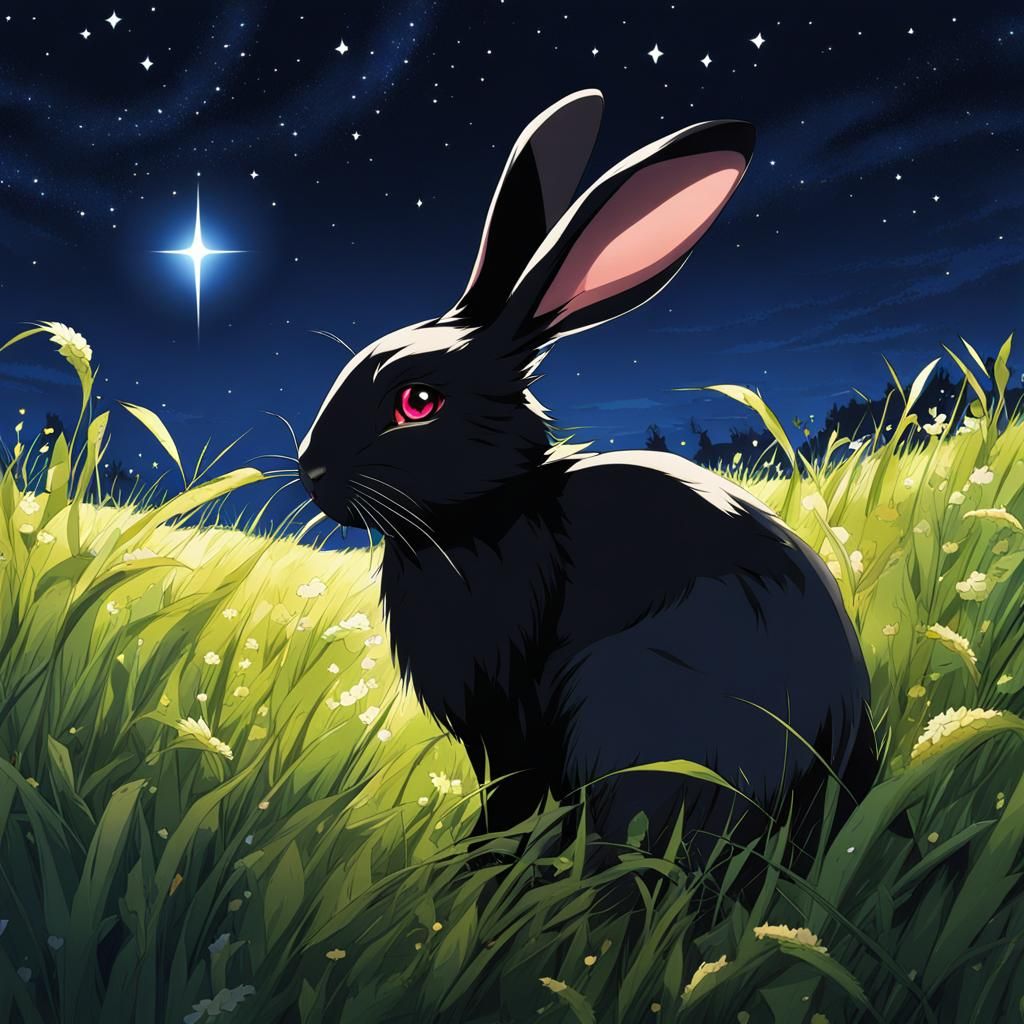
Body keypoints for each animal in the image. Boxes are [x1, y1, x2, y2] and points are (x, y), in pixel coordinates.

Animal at [297, 89, 876, 871]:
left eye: (417, 403)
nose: (311, 471)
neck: (492, 511)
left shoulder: (509, 719)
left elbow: (509, 797)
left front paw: (470, 867)